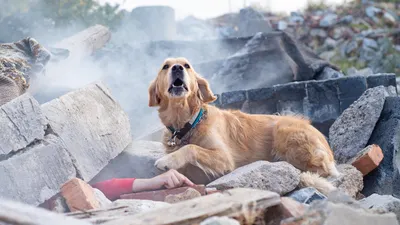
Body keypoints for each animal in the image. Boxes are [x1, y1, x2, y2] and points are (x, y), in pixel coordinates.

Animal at [148, 57, 340, 194]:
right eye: (165, 66)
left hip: (284, 129)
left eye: (187, 65)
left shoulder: (225, 158)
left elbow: (191, 148)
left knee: (319, 170)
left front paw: (167, 161)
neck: (187, 124)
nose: (177, 68)